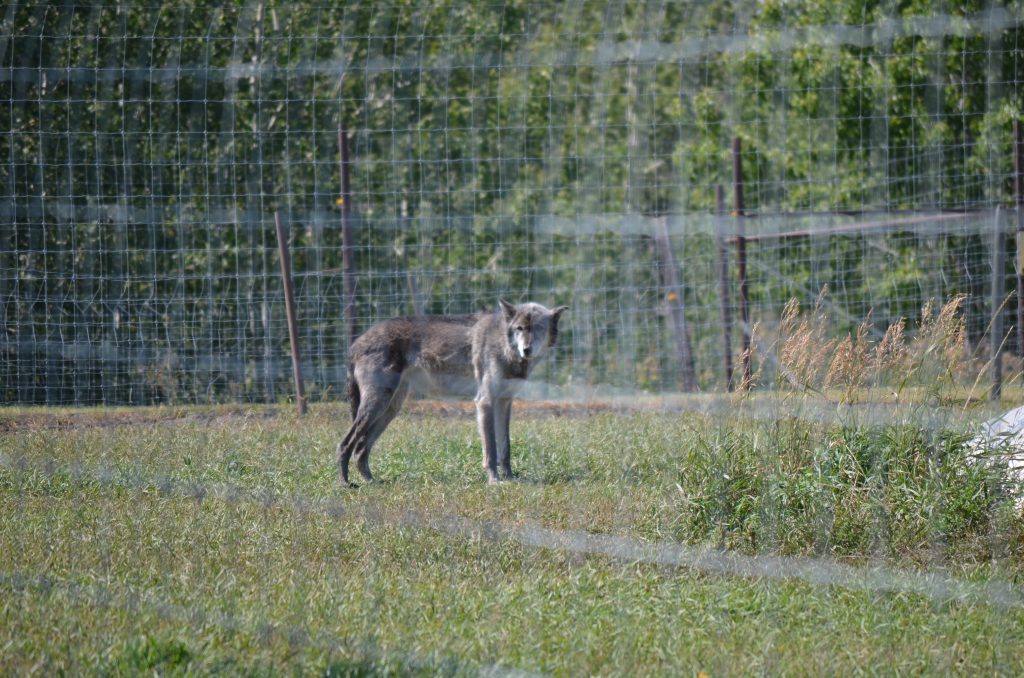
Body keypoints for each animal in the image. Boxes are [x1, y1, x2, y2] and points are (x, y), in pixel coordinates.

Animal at [342, 301, 569, 485]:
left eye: (539, 328)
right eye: (519, 328)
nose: (526, 350)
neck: (504, 345)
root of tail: (355, 343)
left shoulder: (504, 403)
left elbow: (505, 448)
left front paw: (511, 478)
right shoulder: (485, 402)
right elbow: (491, 449)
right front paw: (494, 481)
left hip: (389, 410)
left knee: (360, 449)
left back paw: (371, 481)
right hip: (377, 405)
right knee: (345, 444)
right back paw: (345, 483)